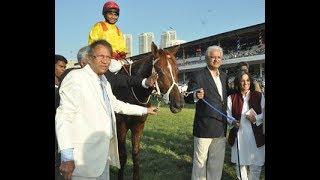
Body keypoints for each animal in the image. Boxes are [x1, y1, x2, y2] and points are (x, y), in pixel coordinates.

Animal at [112, 42, 184, 180]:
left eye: (177, 70)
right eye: (159, 70)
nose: (178, 104)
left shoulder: (139, 125)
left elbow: (135, 154)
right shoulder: (121, 125)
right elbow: (122, 155)